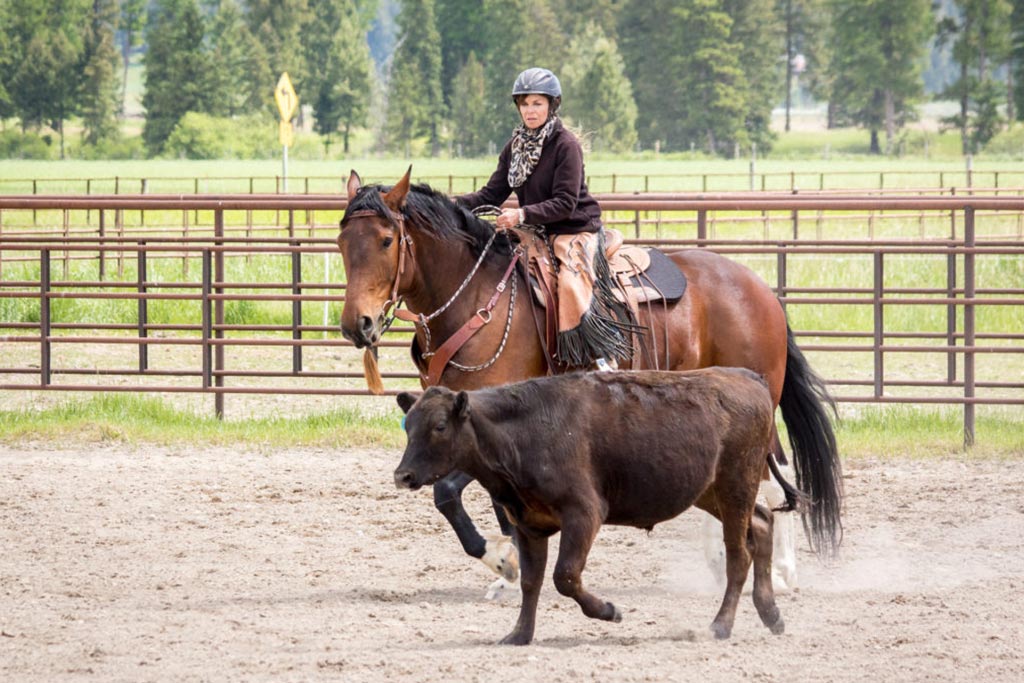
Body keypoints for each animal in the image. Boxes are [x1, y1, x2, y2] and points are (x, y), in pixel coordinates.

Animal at [339, 167, 843, 581]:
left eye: (386, 241)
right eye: (343, 243)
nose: (356, 325)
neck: (476, 298)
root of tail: (760, 289)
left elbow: (450, 491)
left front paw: (503, 560)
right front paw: (513, 563)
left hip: (757, 403)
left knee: (770, 471)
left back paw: (779, 571)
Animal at [391, 370, 782, 643]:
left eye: (440, 426)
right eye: (408, 426)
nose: (402, 475)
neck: (525, 431)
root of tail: (747, 377)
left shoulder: (584, 514)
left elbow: (564, 576)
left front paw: (609, 611)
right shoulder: (528, 523)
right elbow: (531, 581)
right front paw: (519, 635)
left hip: (736, 487)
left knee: (738, 556)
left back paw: (721, 625)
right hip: (712, 493)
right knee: (763, 524)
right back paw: (771, 613)